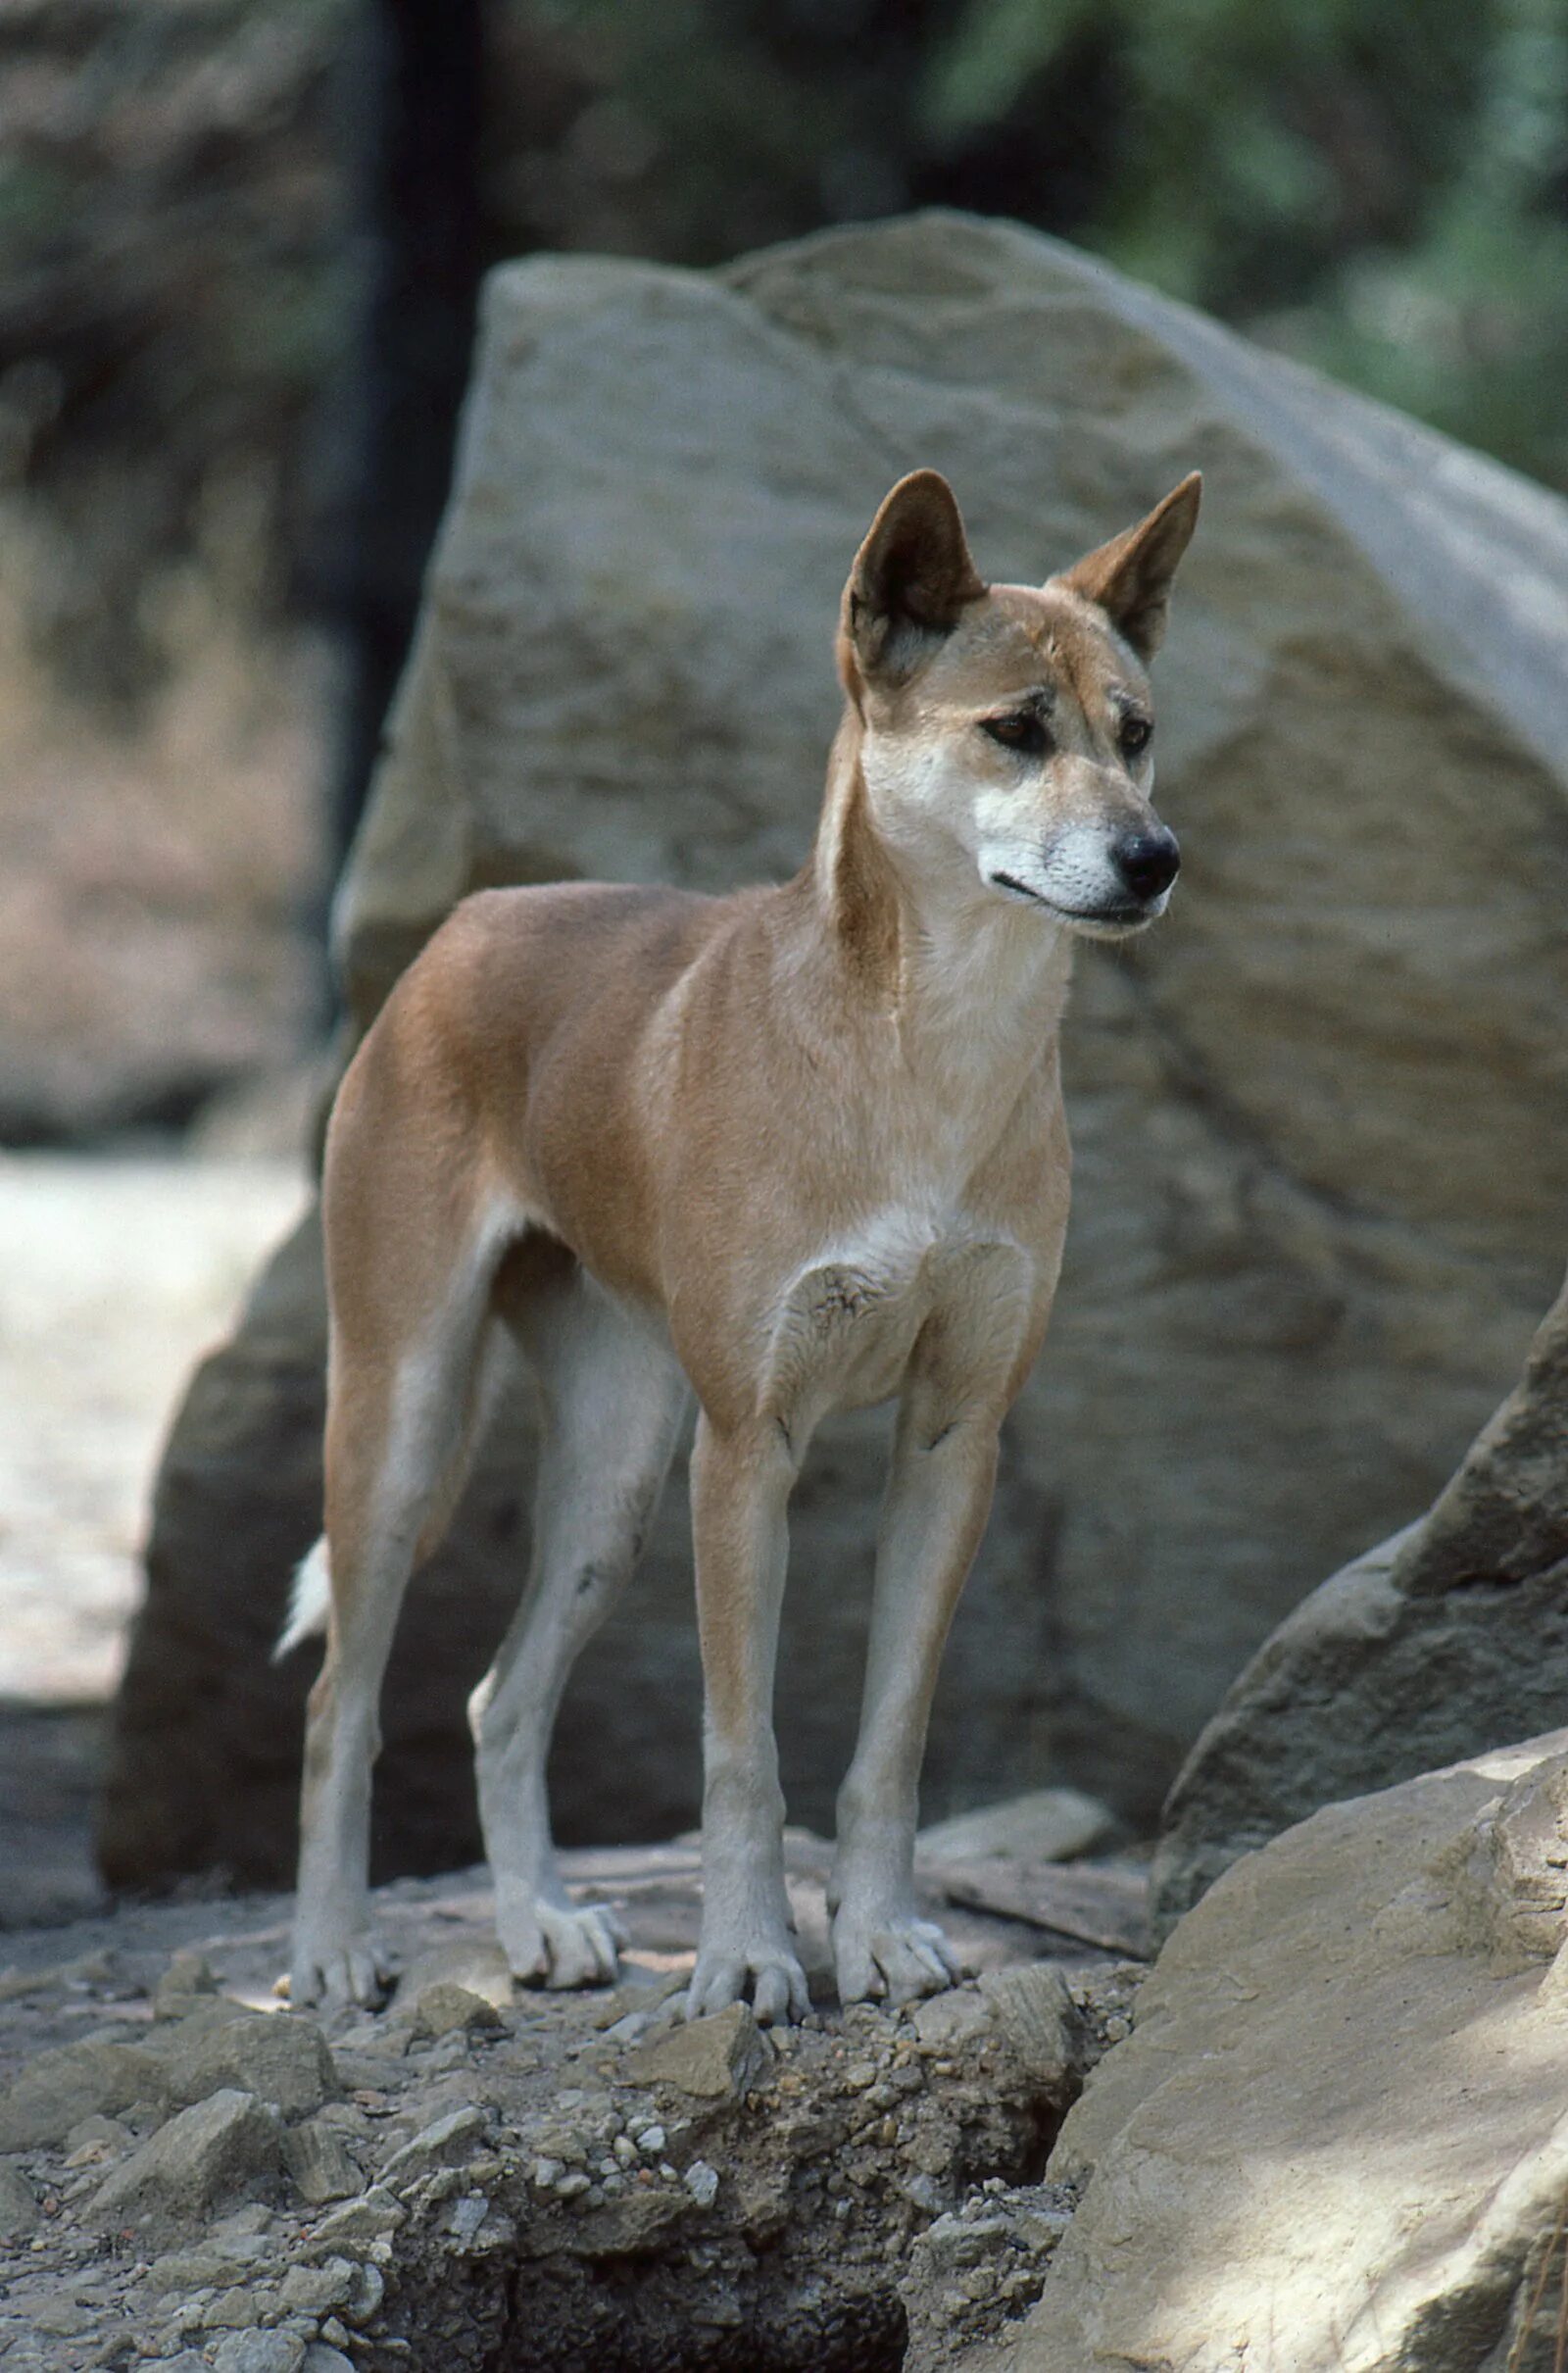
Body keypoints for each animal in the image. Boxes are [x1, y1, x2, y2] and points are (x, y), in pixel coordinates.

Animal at [278, 463, 1200, 2021]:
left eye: (1134, 734)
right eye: (1016, 731)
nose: (1155, 857)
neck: (923, 1057)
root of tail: (464, 924)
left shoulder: (953, 1439)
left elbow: (889, 1746)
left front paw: (880, 1936)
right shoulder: (748, 1445)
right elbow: (741, 1755)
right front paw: (748, 1960)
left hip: (614, 1477)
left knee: (499, 1699)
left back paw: (539, 1925)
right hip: (406, 1430)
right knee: (342, 1703)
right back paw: (332, 1951)